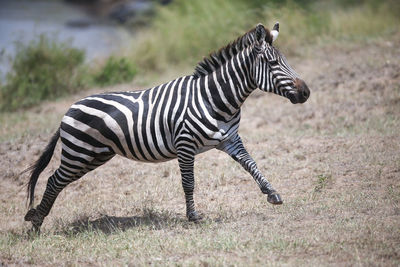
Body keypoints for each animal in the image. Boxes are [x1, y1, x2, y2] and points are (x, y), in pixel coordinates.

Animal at [24, 23, 310, 232]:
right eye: (273, 64)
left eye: (285, 60)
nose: (306, 92)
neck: (215, 99)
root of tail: (69, 109)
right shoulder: (185, 144)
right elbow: (188, 182)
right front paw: (193, 216)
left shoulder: (229, 139)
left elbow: (251, 164)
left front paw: (272, 193)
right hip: (79, 153)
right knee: (53, 180)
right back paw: (36, 223)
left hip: (95, 156)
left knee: (57, 181)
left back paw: (36, 219)